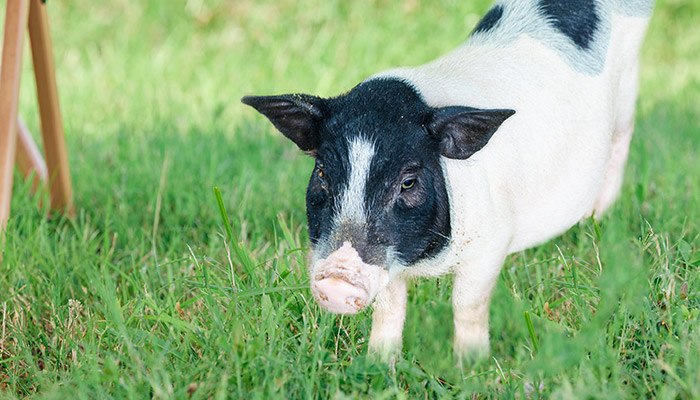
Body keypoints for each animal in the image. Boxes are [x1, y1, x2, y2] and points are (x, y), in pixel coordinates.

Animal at [243, 0, 652, 356]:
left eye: (408, 181)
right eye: (323, 174)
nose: (337, 278)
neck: (425, 262)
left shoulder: (490, 242)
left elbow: (467, 305)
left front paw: (471, 364)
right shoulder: (389, 262)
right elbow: (389, 307)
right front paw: (378, 363)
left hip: (629, 88)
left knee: (622, 139)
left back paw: (596, 219)